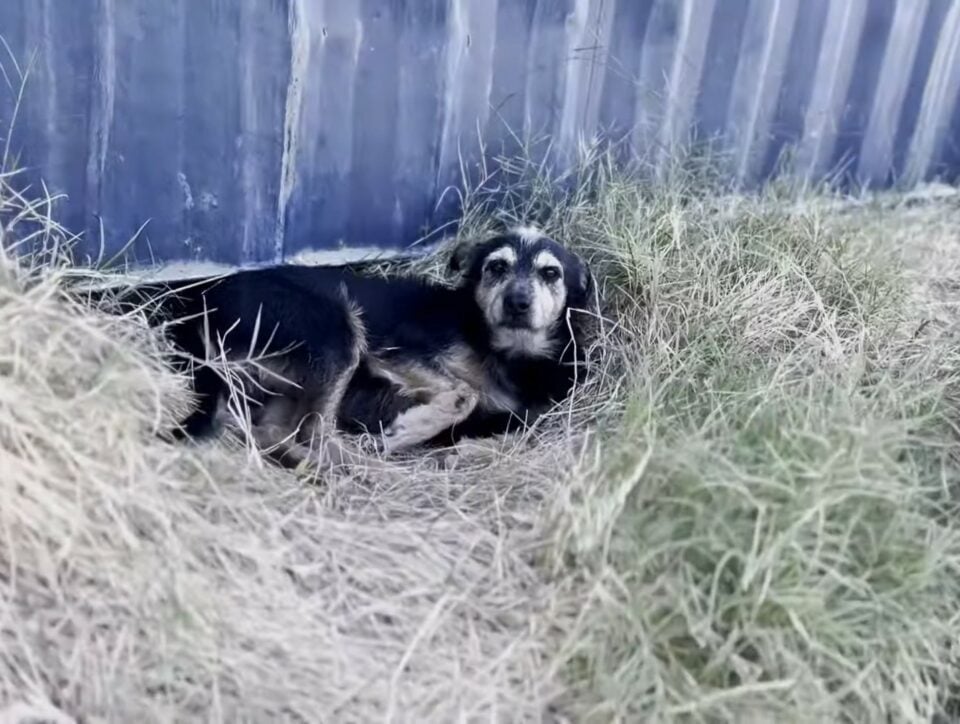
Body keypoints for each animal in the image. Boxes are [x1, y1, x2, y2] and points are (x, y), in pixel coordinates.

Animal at [89, 226, 596, 468]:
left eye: (551, 273)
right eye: (496, 267)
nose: (518, 302)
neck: (504, 351)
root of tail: (199, 300)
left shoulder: (523, 415)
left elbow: (513, 433)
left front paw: (459, 450)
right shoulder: (395, 349)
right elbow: (462, 393)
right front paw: (410, 430)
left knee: (276, 431)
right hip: (336, 330)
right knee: (308, 431)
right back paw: (359, 463)